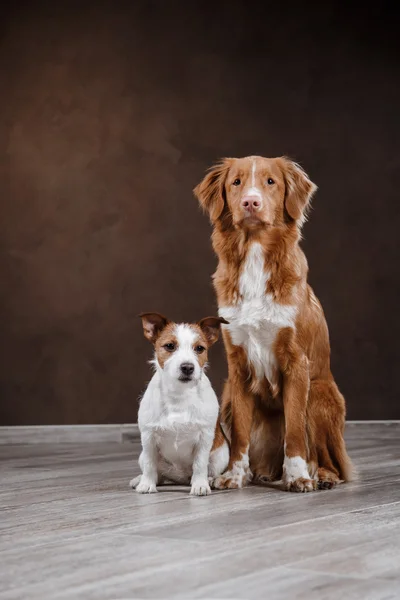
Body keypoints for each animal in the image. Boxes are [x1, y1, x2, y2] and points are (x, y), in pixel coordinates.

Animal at [128, 312, 228, 494]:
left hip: (221, 456)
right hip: (143, 455)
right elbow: (150, 464)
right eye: (169, 346)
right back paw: (141, 479)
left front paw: (200, 484)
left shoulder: (204, 438)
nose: (187, 367)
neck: (179, 394)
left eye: (199, 348)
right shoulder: (148, 437)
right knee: (157, 473)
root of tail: (180, 477)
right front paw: (146, 484)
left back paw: (210, 480)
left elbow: (200, 464)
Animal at [194, 155, 354, 492]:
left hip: (320, 394)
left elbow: (294, 429)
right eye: (236, 182)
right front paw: (234, 475)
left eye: (271, 182)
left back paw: (322, 476)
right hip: (226, 397)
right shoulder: (237, 365)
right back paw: (265, 472)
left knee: (328, 458)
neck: (255, 253)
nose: (250, 202)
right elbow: (241, 433)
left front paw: (298, 477)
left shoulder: (296, 362)